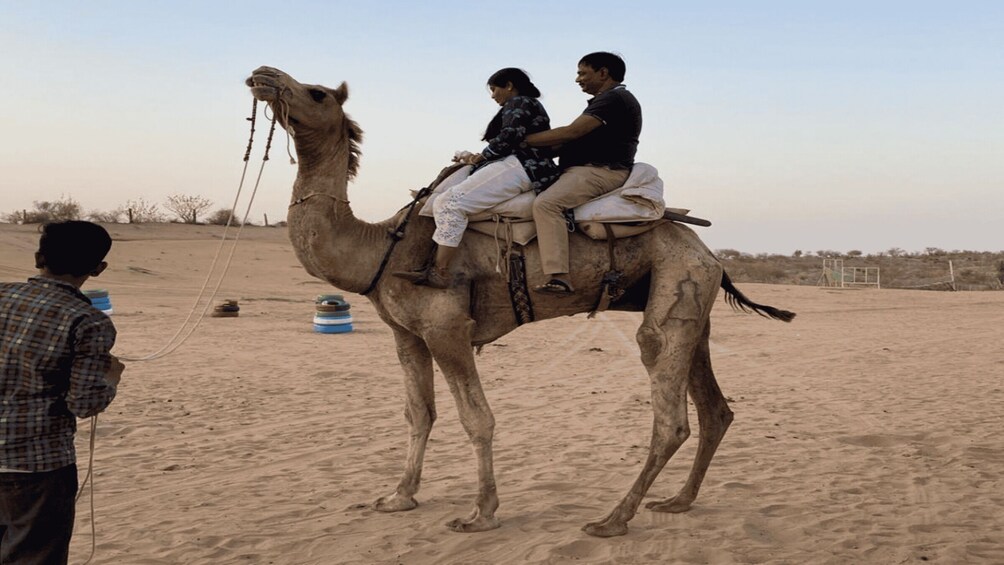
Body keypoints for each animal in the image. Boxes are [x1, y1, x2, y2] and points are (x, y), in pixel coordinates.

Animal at [246, 66, 795, 537]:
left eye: (316, 92)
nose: (262, 75)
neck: (383, 246)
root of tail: (709, 252)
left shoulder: (447, 328)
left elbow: (477, 419)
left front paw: (481, 514)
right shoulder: (406, 335)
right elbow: (419, 413)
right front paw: (399, 497)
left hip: (676, 292)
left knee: (669, 413)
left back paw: (612, 520)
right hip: (693, 306)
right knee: (715, 410)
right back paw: (678, 501)